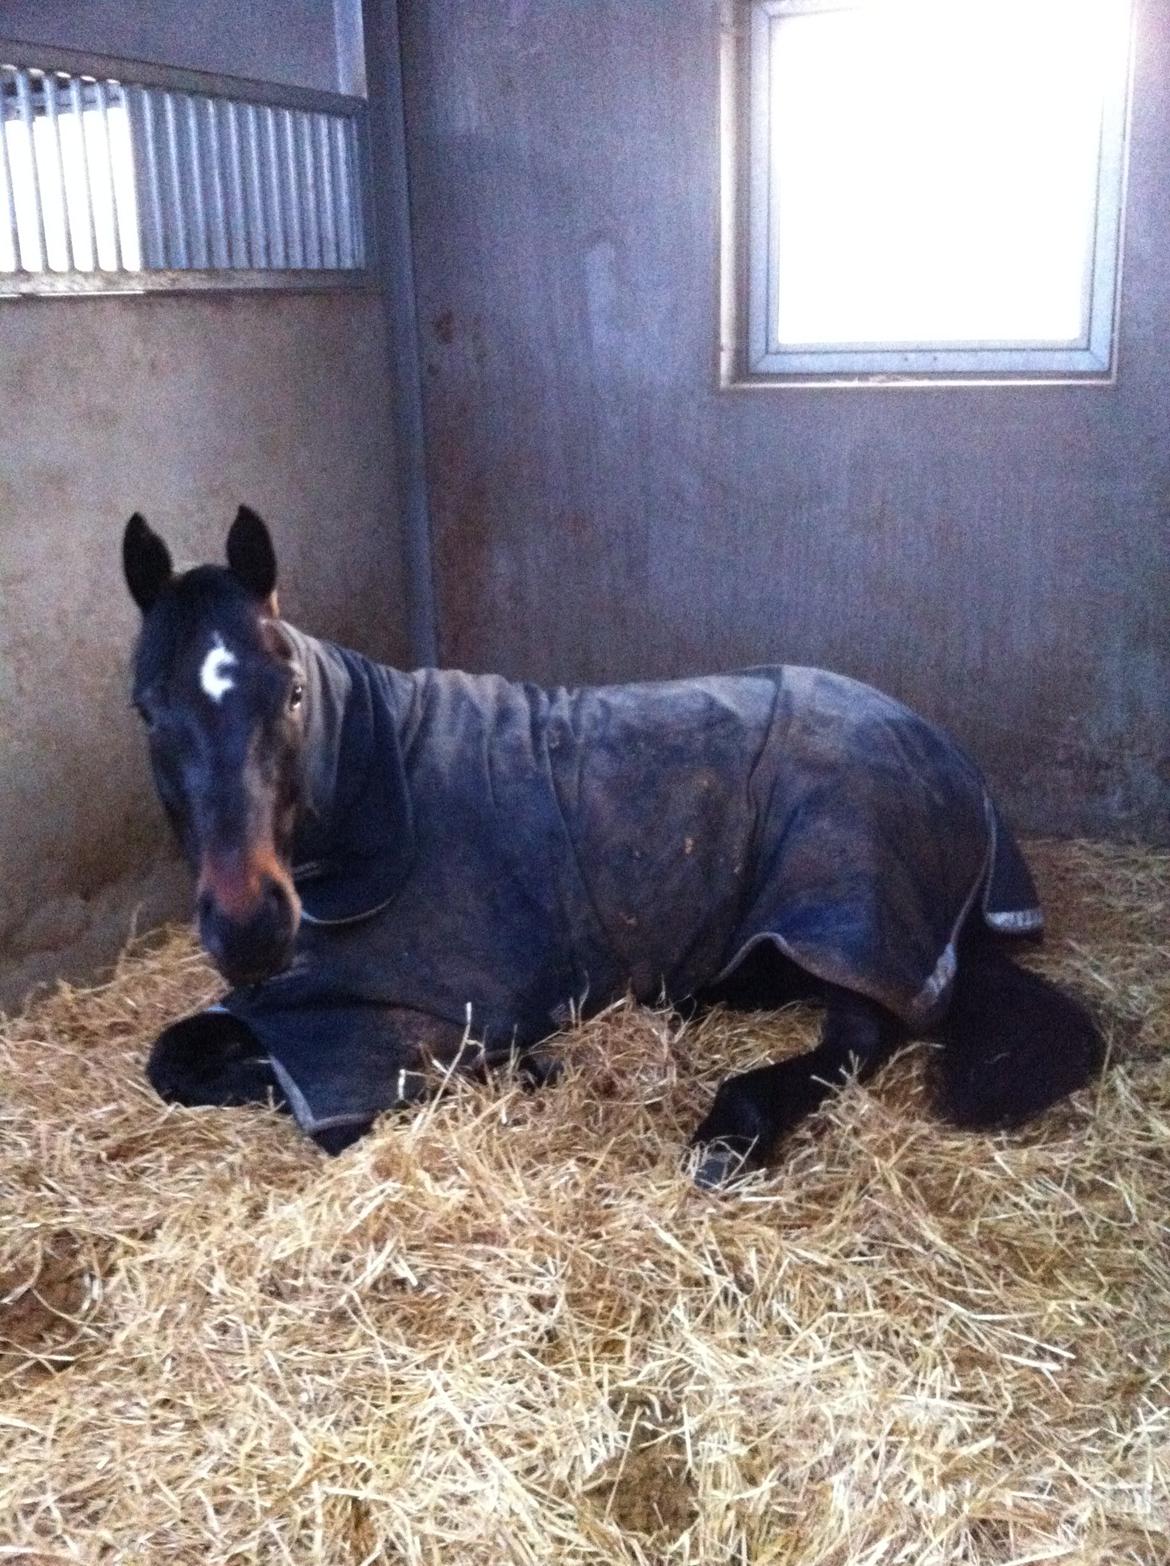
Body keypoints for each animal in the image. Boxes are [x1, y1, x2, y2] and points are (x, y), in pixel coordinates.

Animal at [121, 507, 1108, 1177]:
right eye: (148, 710)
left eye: (291, 694)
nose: (248, 927)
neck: (380, 780)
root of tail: (955, 768)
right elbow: (178, 1056)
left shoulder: (400, 1018)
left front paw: (524, 1070)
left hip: (844, 901)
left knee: (862, 1037)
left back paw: (732, 1131)